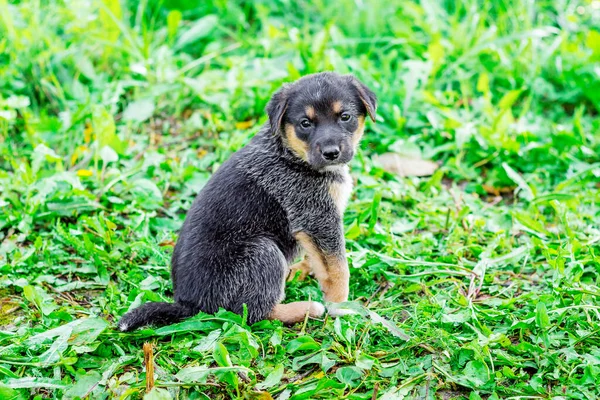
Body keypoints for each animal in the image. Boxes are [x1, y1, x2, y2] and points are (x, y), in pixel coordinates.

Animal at [118, 72, 376, 332]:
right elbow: (338, 268)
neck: (290, 153)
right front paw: (342, 306)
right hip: (263, 252)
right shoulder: (318, 218)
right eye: (305, 123)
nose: (331, 153)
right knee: (252, 313)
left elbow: (322, 261)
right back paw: (304, 308)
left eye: (345, 117)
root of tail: (189, 305)